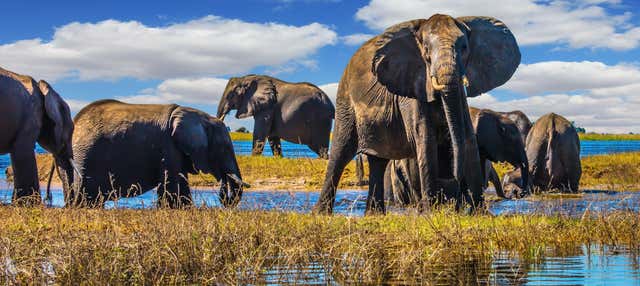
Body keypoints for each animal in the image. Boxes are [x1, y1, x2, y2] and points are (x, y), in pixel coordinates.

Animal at [70, 100, 248, 208]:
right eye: (224, 148)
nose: (225, 195)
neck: (201, 118)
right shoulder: (168, 146)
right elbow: (171, 190)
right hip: (84, 159)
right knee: (85, 198)